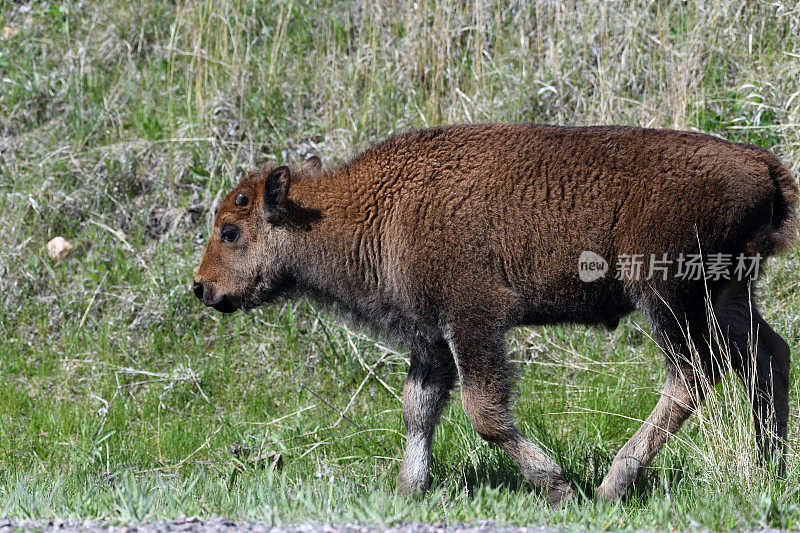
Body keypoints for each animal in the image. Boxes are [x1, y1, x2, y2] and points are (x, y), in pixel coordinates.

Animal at [192, 123, 792, 502]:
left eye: (231, 231)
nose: (201, 288)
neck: (379, 207)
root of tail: (761, 163)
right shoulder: (432, 337)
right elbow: (418, 409)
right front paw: (408, 491)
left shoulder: (473, 320)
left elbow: (483, 412)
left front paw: (556, 486)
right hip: (728, 296)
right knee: (769, 356)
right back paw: (771, 468)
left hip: (667, 298)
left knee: (694, 376)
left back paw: (611, 485)